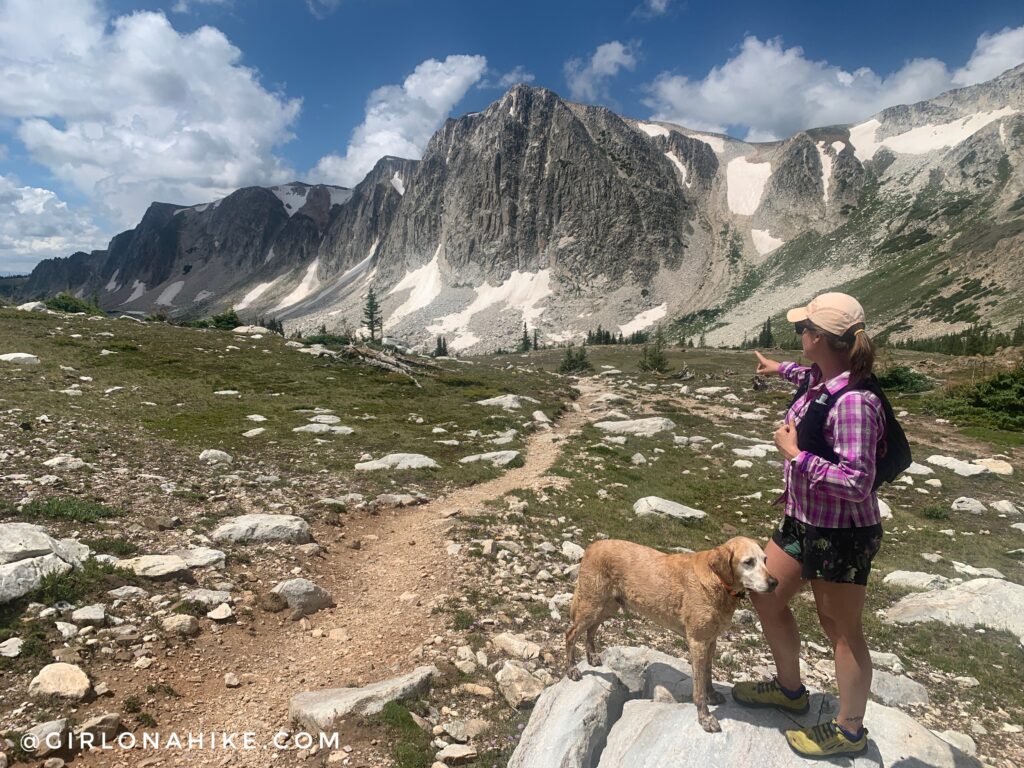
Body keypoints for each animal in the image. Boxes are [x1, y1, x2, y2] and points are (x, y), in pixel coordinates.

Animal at [561, 536, 774, 733]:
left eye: (765, 560)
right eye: (748, 562)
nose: (774, 582)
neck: (718, 582)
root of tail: (593, 546)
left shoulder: (711, 640)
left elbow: (708, 673)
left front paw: (712, 694)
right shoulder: (697, 642)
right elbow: (698, 688)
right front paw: (705, 717)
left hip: (608, 606)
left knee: (592, 629)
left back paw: (592, 656)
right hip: (592, 604)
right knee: (570, 634)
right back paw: (572, 669)